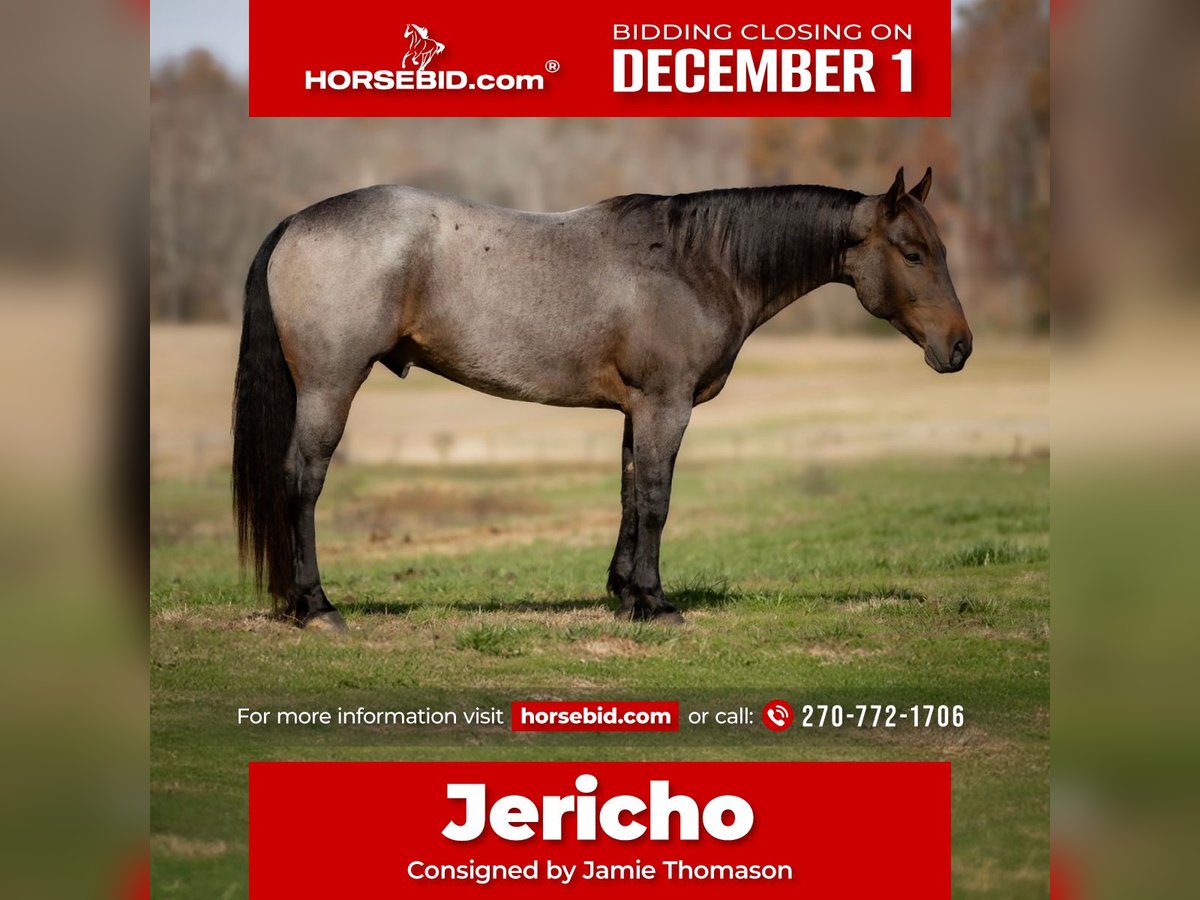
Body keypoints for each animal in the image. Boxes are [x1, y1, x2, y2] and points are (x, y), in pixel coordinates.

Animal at [233, 168, 972, 631]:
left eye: (939, 248)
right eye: (911, 253)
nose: (960, 346)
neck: (695, 262)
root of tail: (298, 221)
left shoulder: (635, 411)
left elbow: (628, 493)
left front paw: (625, 595)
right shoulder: (665, 406)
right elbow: (656, 500)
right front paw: (656, 603)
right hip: (330, 387)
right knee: (302, 482)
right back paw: (316, 605)